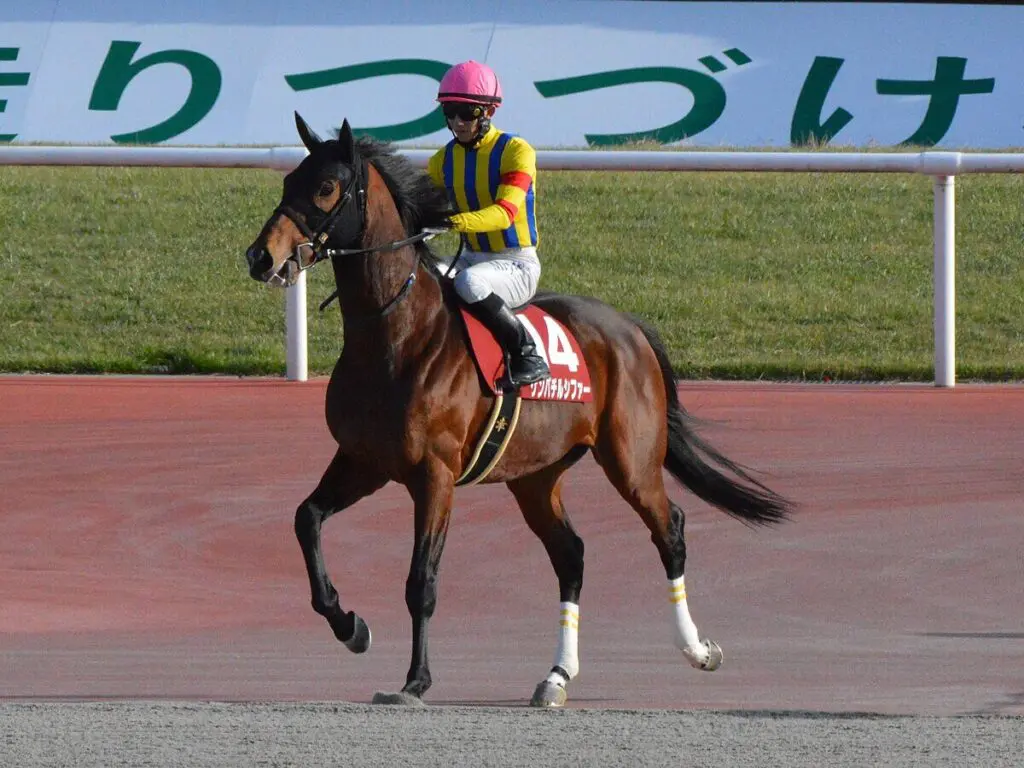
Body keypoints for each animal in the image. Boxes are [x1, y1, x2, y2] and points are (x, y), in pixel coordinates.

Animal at [244, 113, 793, 707]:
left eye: (326, 187)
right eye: (288, 181)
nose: (261, 257)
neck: (397, 335)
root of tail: (629, 327)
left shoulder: (434, 474)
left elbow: (421, 581)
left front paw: (415, 680)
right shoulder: (363, 460)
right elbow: (306, 519)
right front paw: (351, 626)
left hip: (632, 459)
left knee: (669, 529)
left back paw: (696, 649)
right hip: (535, 476)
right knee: (571, 554)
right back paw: (556, 676)